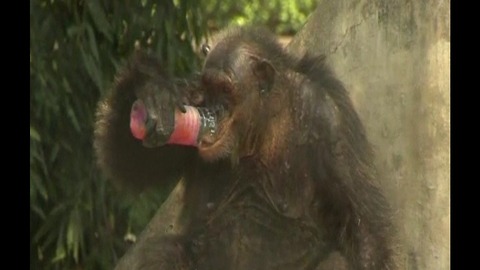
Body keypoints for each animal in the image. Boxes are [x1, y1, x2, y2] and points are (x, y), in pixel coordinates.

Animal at [94, 26, 398, 270]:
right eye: (207, 87)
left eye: (226, 90)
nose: (213, 108)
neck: (263, 120)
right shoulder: (189, 95)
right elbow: (132, 161)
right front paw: (152, 91)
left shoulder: (329, 119)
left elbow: (363, 224)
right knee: (161, 254)